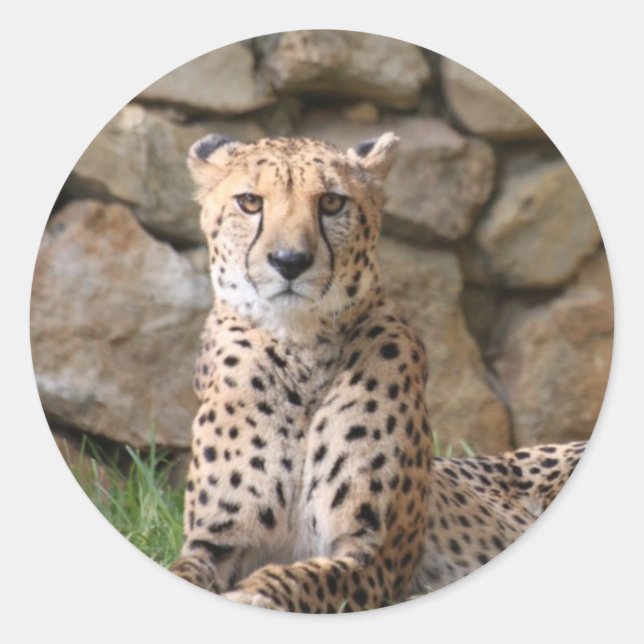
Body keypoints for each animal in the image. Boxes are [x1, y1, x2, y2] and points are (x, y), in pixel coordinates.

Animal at [168, 131, 586, 612]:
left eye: (331, 202)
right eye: (250, 202)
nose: (290, 261)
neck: (301, 348)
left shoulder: (375, 554)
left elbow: (299, 579)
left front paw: (255, 594)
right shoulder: (214, 543)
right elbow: (181, 571)